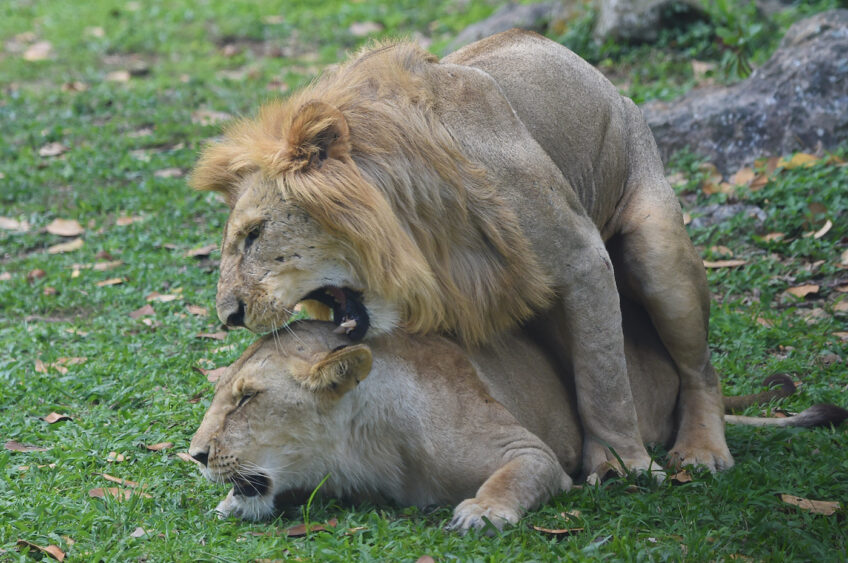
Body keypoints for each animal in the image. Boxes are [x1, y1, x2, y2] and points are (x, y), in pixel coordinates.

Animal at [188, 311, 846, 531]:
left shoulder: (529, 451)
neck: (360, 452)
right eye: (224, 393)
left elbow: (518, 474)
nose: (194, 455)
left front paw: (482, 512)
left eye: (246, 398)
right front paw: (235, 502)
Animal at [191, 30, 729, 477]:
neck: (420, 233)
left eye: (255, 234)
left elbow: (605, 379)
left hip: (660, 253)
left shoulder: (583, 261)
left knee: (699, 369)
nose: (229, 316)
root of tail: (617, 92)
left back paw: (701, 451)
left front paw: (621, 463)